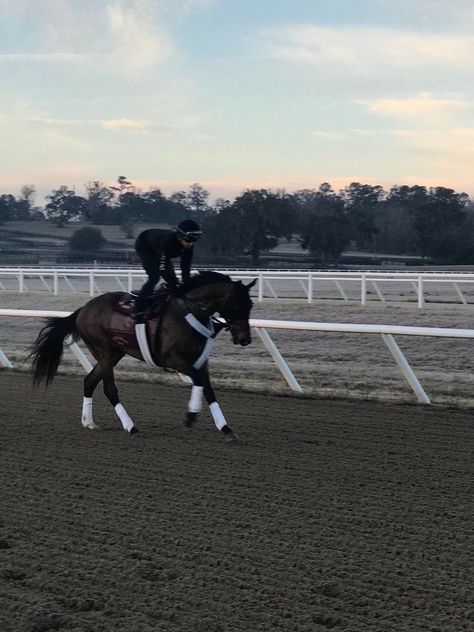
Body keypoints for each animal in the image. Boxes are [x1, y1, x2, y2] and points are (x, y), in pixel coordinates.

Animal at [29, 270, 256, 440]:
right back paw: (131, 427)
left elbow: (208, 388)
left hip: (115, 353)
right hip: (103, 351)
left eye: (251, 305)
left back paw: (89, 422)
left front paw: (226, 429)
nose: (245, 338)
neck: (190, 312)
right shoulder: (173, 359)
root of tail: (83, 309)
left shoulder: (201, 362)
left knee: (89, 381)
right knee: (109, 389)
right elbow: (199, 382)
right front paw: (191, 416)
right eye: (237, 305)